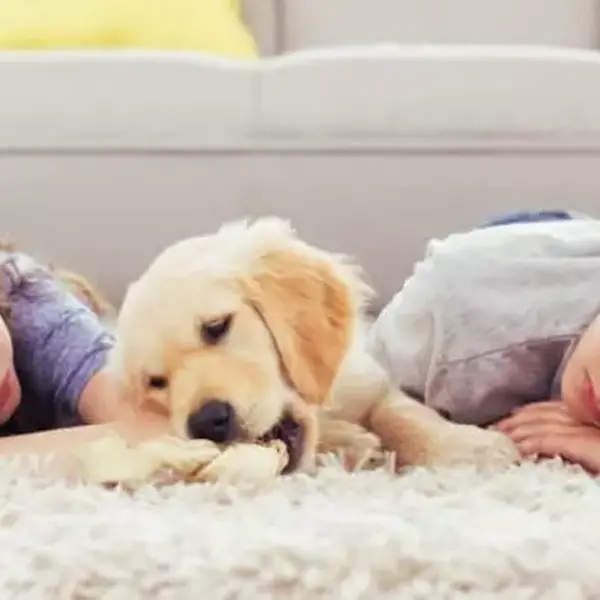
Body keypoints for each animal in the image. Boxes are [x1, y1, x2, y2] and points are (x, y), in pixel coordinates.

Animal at [110, 217, 516, 474]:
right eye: (156, 383)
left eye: (216, 327)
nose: (207, 423)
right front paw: (351, 444)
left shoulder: (366, 378)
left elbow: (400, 414)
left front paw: (469, 448)